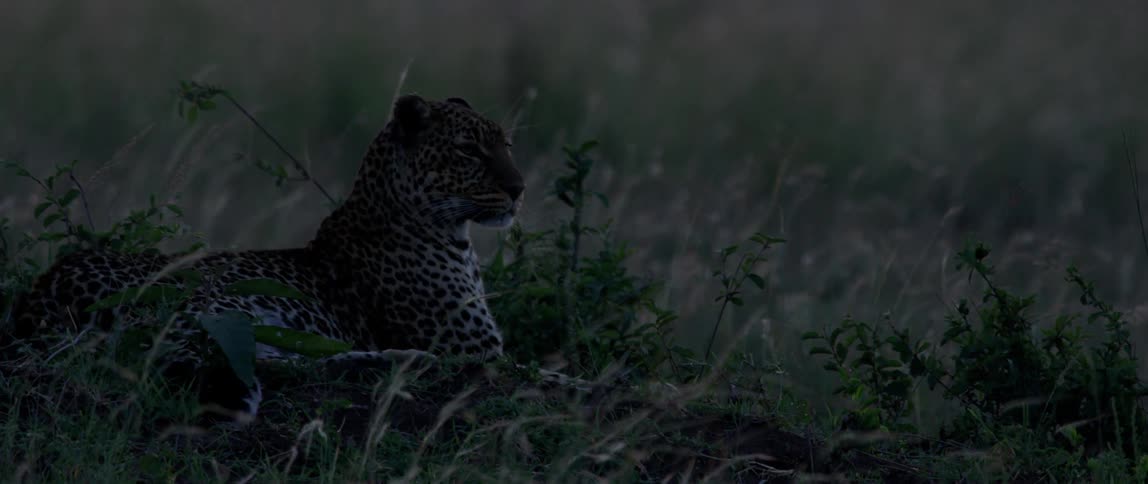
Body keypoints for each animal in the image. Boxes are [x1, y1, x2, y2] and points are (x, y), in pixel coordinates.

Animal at [2, 94, 543, 418]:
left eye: (507, 145)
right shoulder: (476, 347)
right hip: (217, 301)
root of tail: (42, 292)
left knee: (293, 361)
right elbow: (532, 369)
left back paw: (399, 361)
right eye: (469, 150)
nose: (519, 189)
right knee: (263, 363)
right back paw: (408, 361)